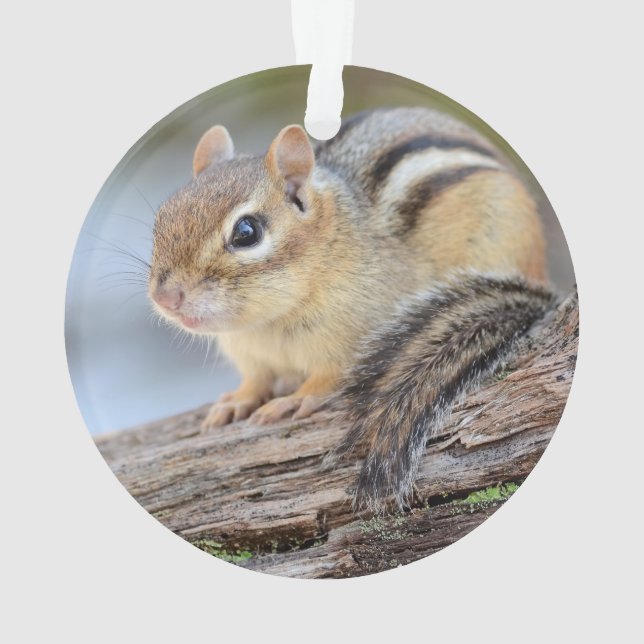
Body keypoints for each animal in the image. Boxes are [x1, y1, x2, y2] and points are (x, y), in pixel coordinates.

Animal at [149, 107, 553, 510]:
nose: (166, 297)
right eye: (162, 218)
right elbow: (257, 381)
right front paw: (236, 401)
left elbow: (328, 378)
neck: (267, 325)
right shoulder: (250, 355)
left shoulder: (356, 337)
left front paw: (295, 400)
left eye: (246, 232)